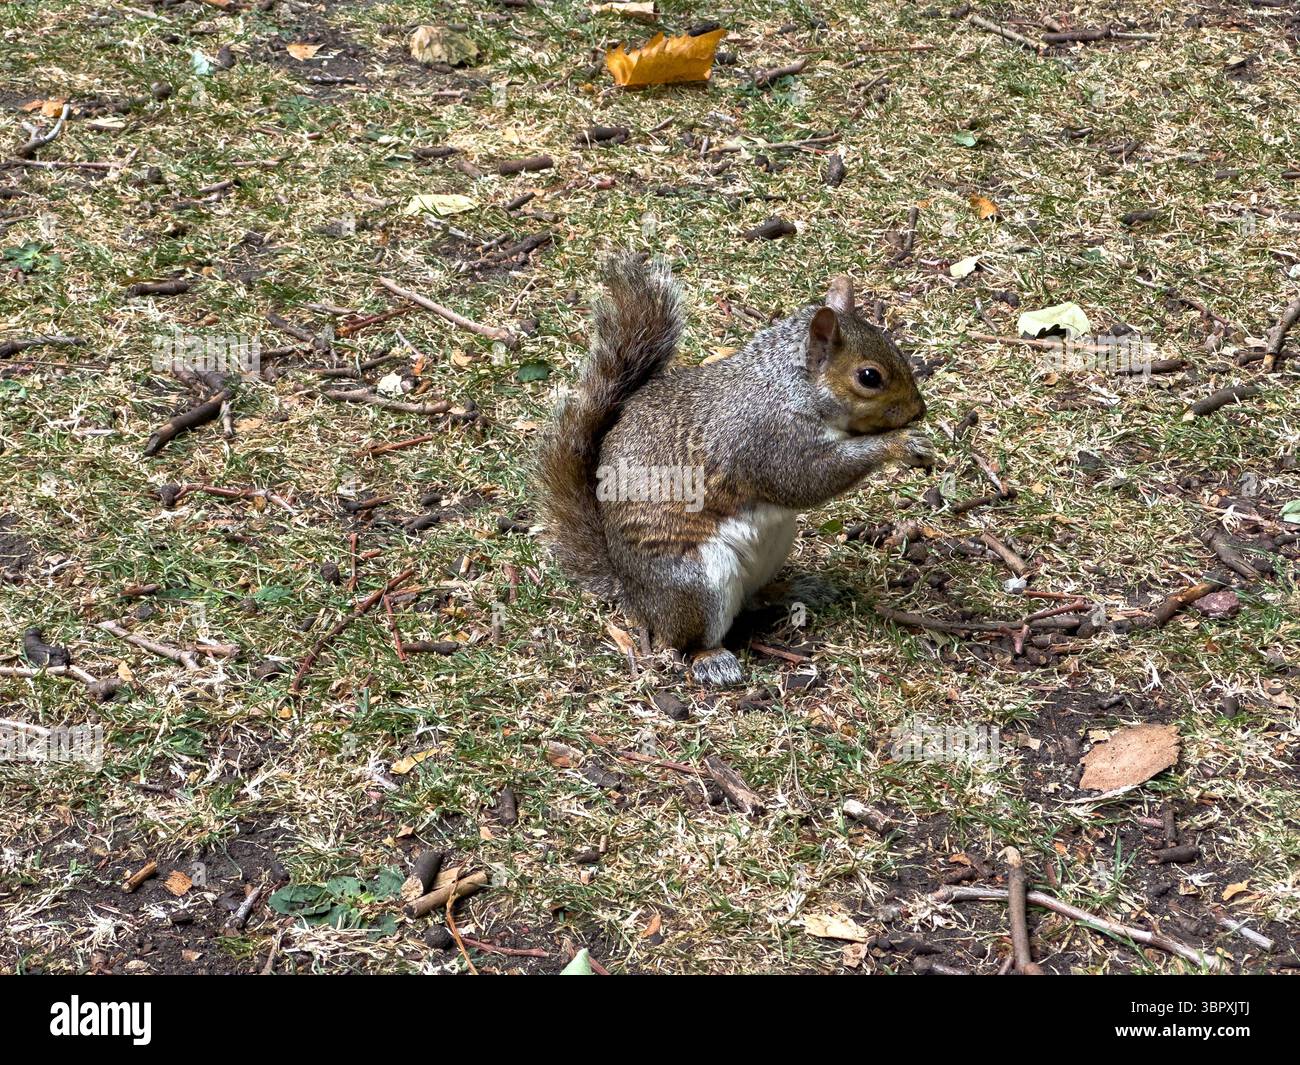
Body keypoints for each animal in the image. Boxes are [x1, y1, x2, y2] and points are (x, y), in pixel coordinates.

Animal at [539, 252, 934, 687]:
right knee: (683, 641)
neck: (789, 388)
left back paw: (795, 589)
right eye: (869, 377)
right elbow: (805, 481)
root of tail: (635, 594)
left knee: (752, 599)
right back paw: (712, 658)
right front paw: (901, 444)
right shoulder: (766, 439)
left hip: (772, 548)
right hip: (697, 582)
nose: (919, 411)